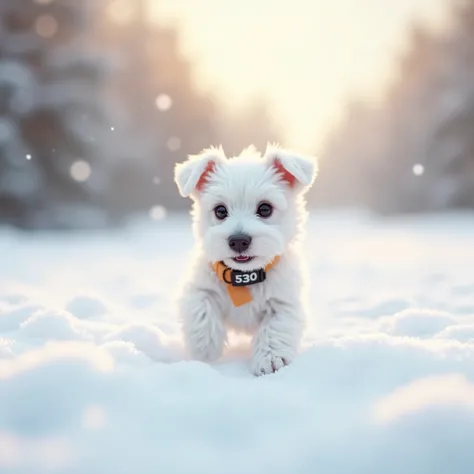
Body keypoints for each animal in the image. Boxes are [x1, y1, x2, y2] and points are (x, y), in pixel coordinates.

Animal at [172, 143, 316, 376]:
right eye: (220, 210)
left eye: (265, 208)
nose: (238, 240)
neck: (245, 276)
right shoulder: (199, 286)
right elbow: (201, 309)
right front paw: (205, 349)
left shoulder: (284, 302)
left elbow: (275, 329)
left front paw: (271, 359)